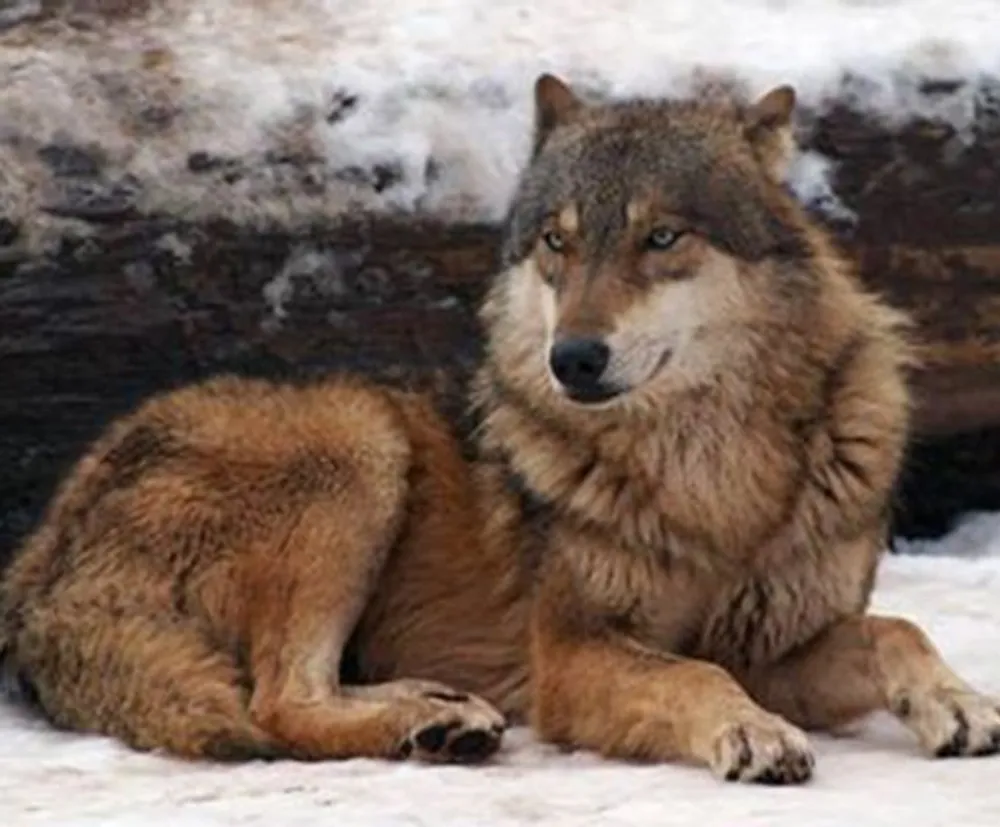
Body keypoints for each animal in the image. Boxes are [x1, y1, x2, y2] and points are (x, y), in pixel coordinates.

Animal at [1, 73, 1000, 784]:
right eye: (558, 241)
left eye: (662, 238)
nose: (575, 358)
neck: (712, 473)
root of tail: (38, 563)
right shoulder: (575, 654)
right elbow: (693, 676)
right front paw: (752, 731)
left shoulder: (775, 644)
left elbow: (896, 627)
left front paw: (961, 704)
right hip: (358, 437)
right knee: (278, 702)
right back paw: (434, 719)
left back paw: (437, 712)